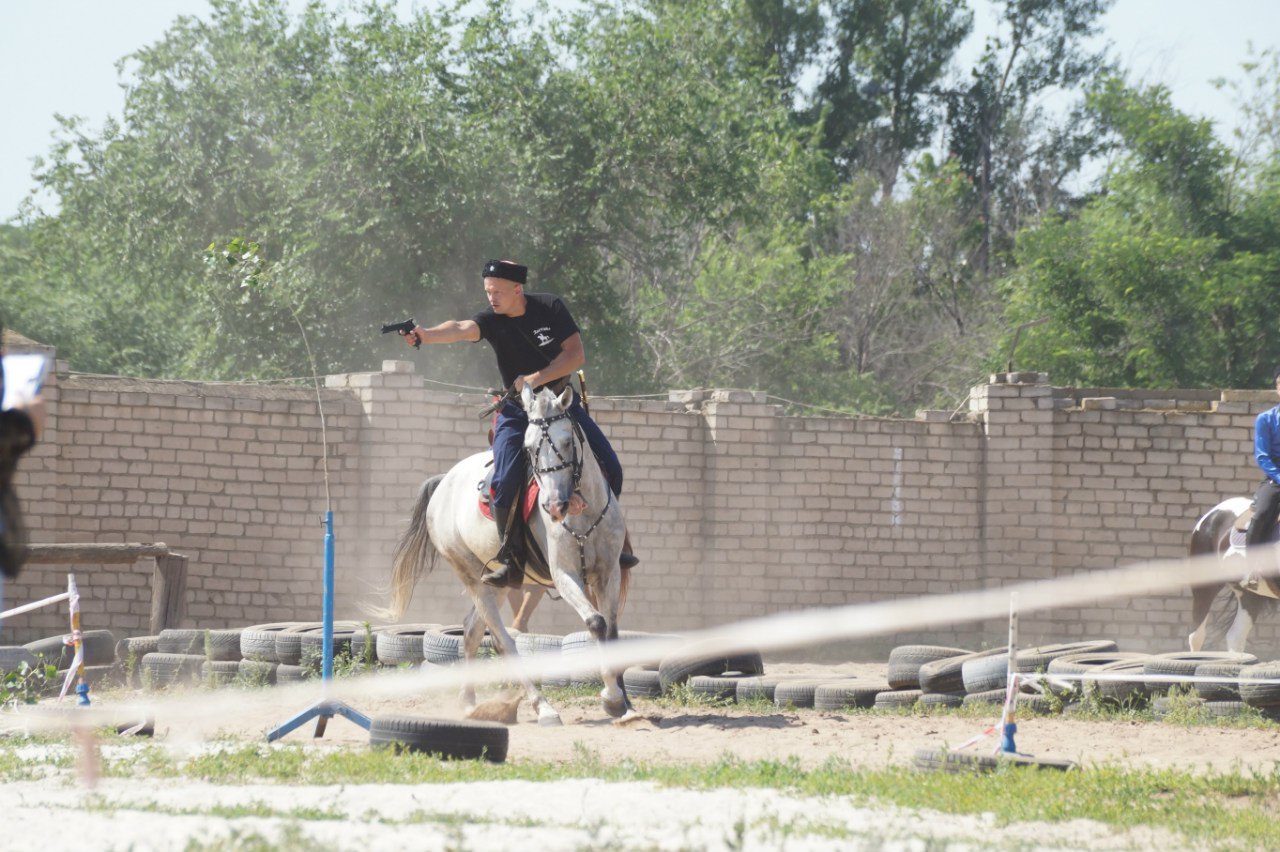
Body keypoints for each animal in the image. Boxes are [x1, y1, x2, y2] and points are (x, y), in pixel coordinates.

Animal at [384, 383, 634, 721]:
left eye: (568, 442)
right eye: (527, 448)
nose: (555, 506)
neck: (583, 512)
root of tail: (444, 483)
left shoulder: (608, 573)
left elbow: (612, 630)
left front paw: (622, 701)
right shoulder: (565, 575)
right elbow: (596, 623)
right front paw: (611, 696)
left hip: (499, 583)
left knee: (472, 629)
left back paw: (469, 700)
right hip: (472, 577)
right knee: (503, 640)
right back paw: (542, 706)